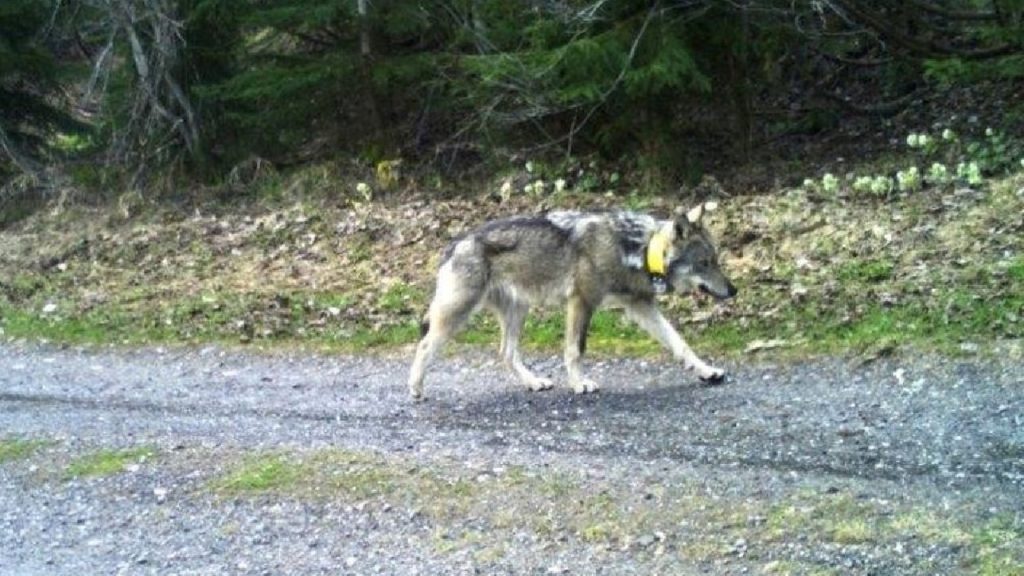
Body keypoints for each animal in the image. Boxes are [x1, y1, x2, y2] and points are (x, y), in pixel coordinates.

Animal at [407, 202, 737, 399]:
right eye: (705, 263)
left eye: (716, 260)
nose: (733, 291)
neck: (637, 249)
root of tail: (454, 243)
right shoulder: (582, 302)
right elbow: (575, 350)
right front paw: (579, 384)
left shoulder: (641, 306)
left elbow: (680, 343)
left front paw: (707, 371)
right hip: (458, 314)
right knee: (424, 345)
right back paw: (416, 388)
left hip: (518, 312)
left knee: (506, 353)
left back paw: (534, 382)